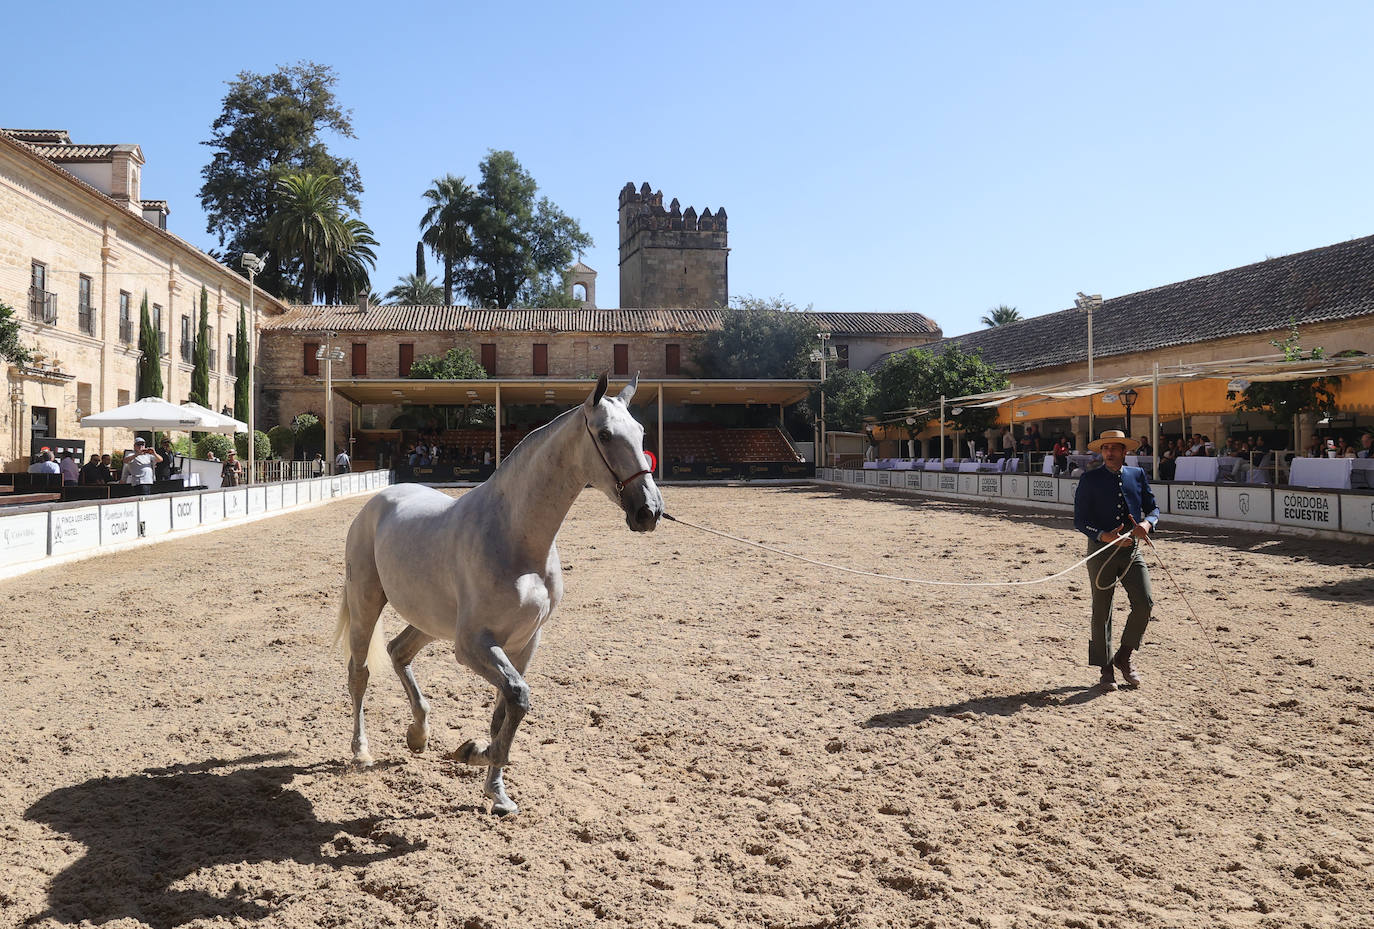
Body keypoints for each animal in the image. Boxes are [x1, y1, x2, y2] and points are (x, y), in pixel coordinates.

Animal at [334, 373, 663, 815]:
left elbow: (504, 710)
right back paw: (361, 750)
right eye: (607, 435)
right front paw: (474, 753)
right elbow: (518, 698)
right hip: (367, 603)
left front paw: (496, 789)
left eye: (642, 432)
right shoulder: (473, 646)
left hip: (431, 621)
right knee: (360, 673)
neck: (514, 537)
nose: (649, 511)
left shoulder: (523, 643)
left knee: (398, 652)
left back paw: (418, 734)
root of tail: (378, 501)